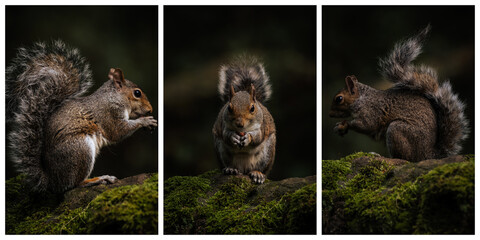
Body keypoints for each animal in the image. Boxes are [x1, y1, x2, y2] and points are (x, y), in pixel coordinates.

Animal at [6, 40, 158, 192]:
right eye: (137, 93)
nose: (150, 109)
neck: (113, 97)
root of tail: (52, 181)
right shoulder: (108, 113)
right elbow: (118, 131)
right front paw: (145, 121)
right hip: (80, 149)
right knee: (74, 184)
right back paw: (98, 179)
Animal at [212, 56, 276, 184]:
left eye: (252, 108)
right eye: (229, 108)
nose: (239, 124)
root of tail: (244, 169)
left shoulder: (262, 126)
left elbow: (258, 136)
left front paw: (248, 138)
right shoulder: (223, 125)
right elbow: (226, 135)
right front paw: (234, 137)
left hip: (268, 152)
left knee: (261, 169)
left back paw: (258, 174)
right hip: (221, 149)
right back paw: (231, 169)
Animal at [330, 25, 468, 161]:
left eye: (339, 99)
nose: (330, 114)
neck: (362, 98)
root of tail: (428, 155)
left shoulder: (371, 111)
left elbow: (367, 125)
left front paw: (344, 124)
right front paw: (339, 127)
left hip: (396, 130)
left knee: (404, 158)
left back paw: (380, 155)